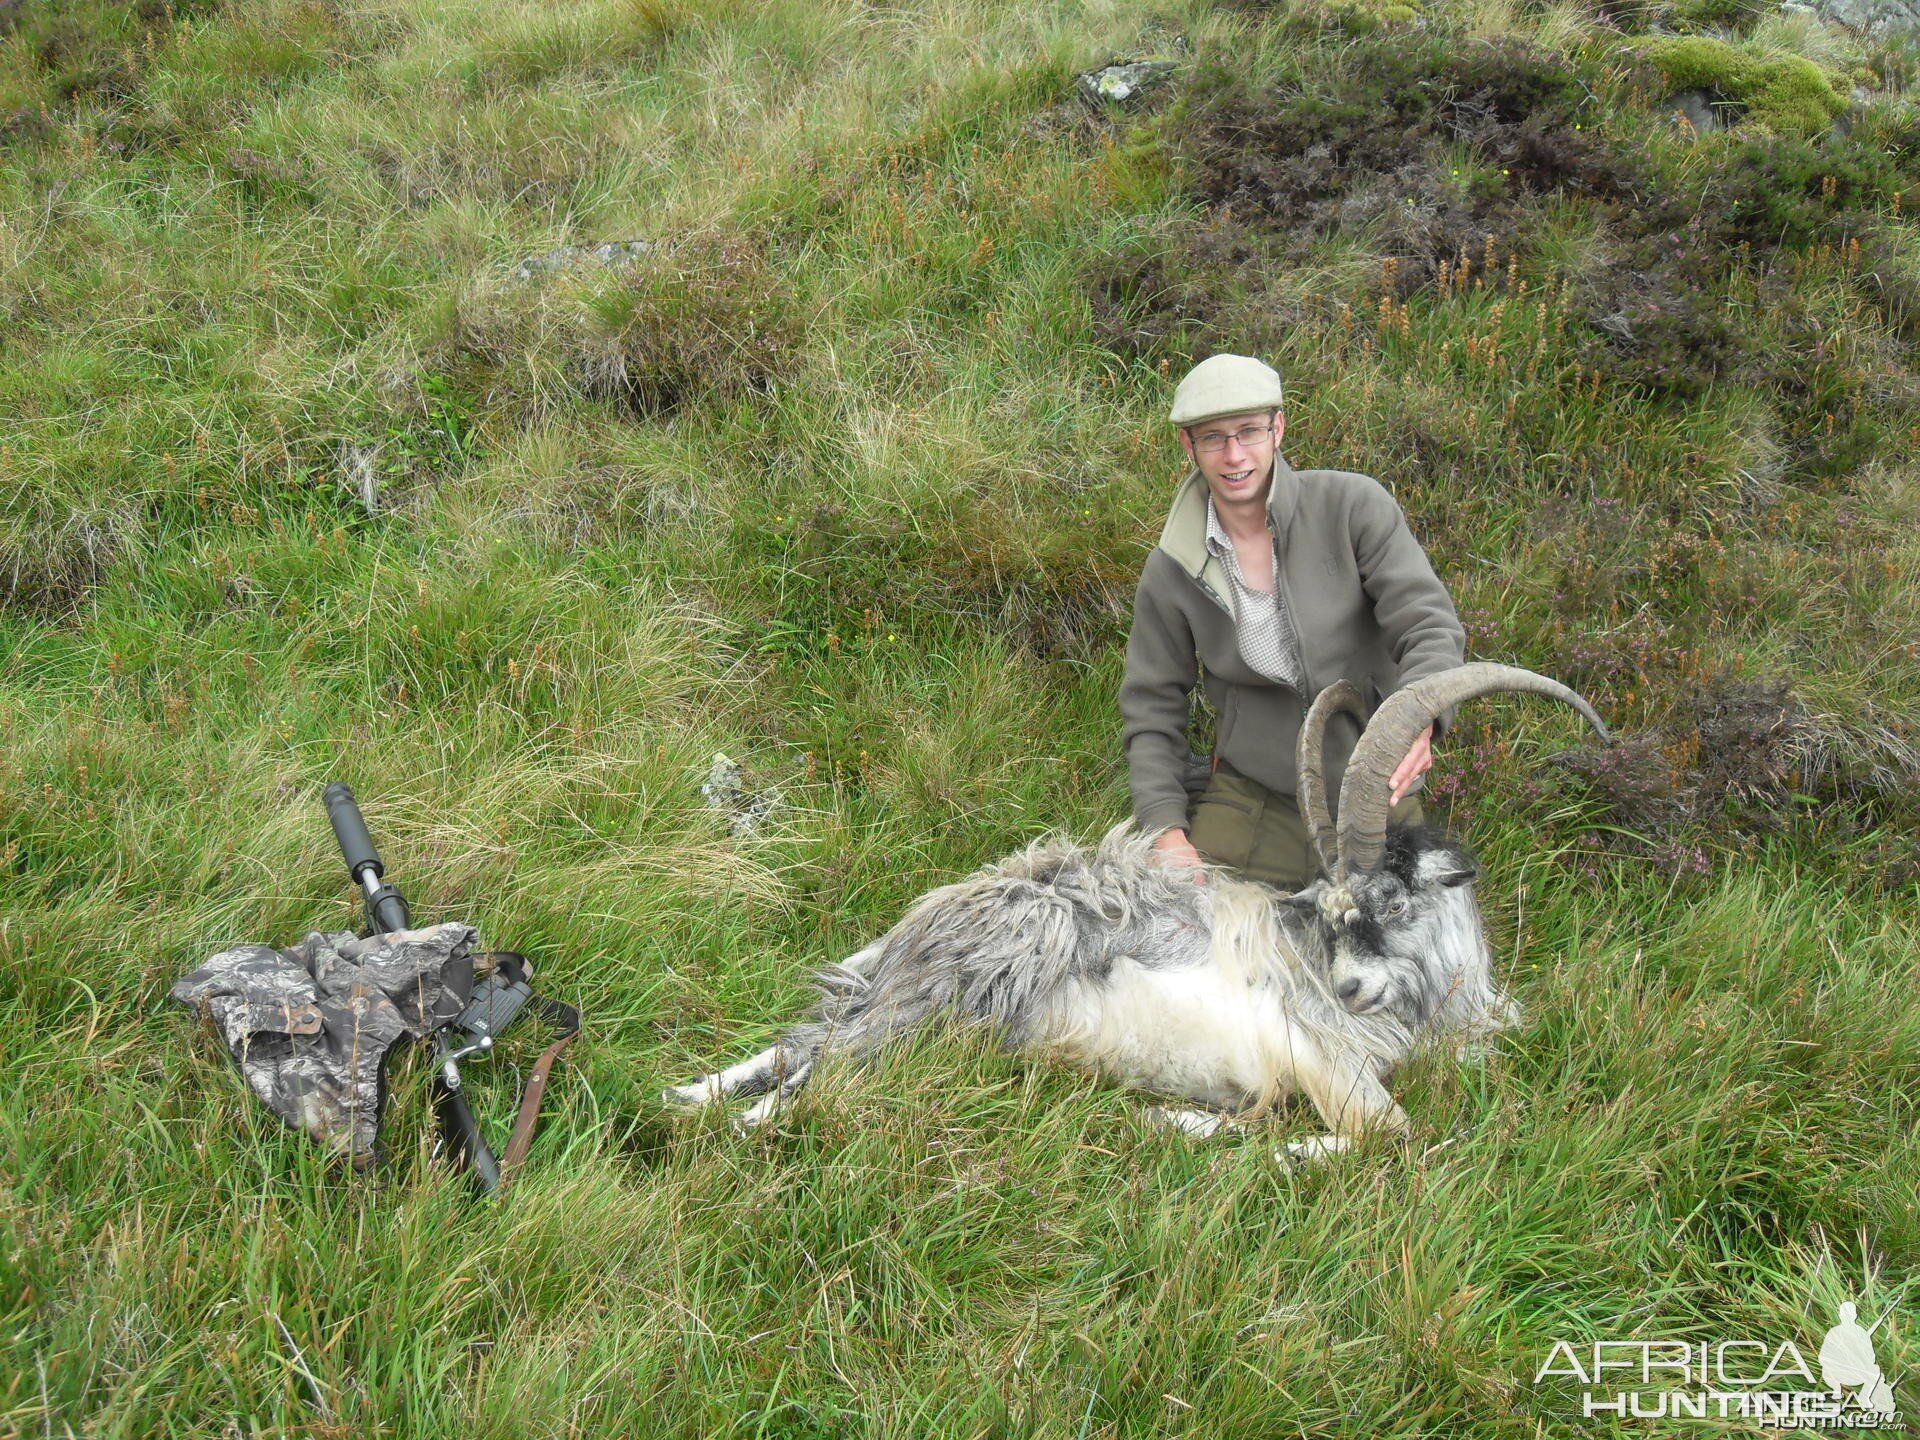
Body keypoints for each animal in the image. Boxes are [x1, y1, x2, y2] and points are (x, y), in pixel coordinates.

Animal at [664, 664, 1605, 1159]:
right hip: (974, 981)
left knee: (804, 1040)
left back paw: (688, 1095)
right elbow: (1393, 1135)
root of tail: (926, 922)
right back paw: (745, 1121)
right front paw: (1197, 1129)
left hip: (924, 1008)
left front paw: (1184, 1121)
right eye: (1336, 910)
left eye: (1392, 899)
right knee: (825, 1064)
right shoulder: (1320, 1058)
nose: (1345, 990)